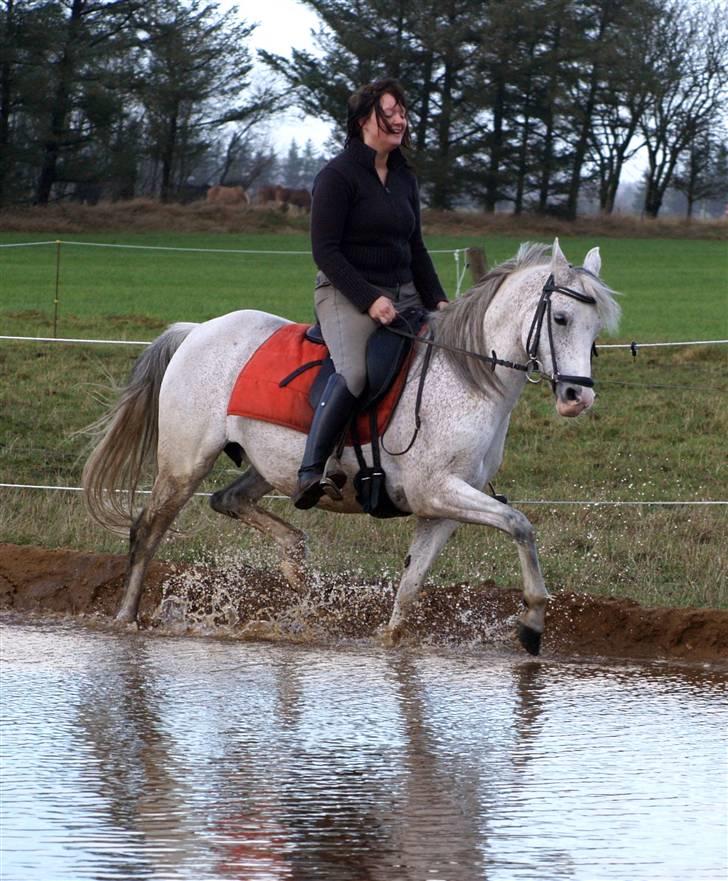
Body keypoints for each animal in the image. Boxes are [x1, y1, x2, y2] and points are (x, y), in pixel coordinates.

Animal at [84, 241, 620, 652]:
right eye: (561, 318)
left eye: (595, 329)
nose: (579, 398)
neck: (466, 376)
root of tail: (197, 331)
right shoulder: (438, 492)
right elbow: (521, 525)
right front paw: (532, 623)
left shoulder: (442, 509)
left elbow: (413, 583)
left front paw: (391, 643)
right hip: (184, 464)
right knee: (147, 531)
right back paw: (126, 620)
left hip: (268, 465)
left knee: (228, 500)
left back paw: (295, 562)